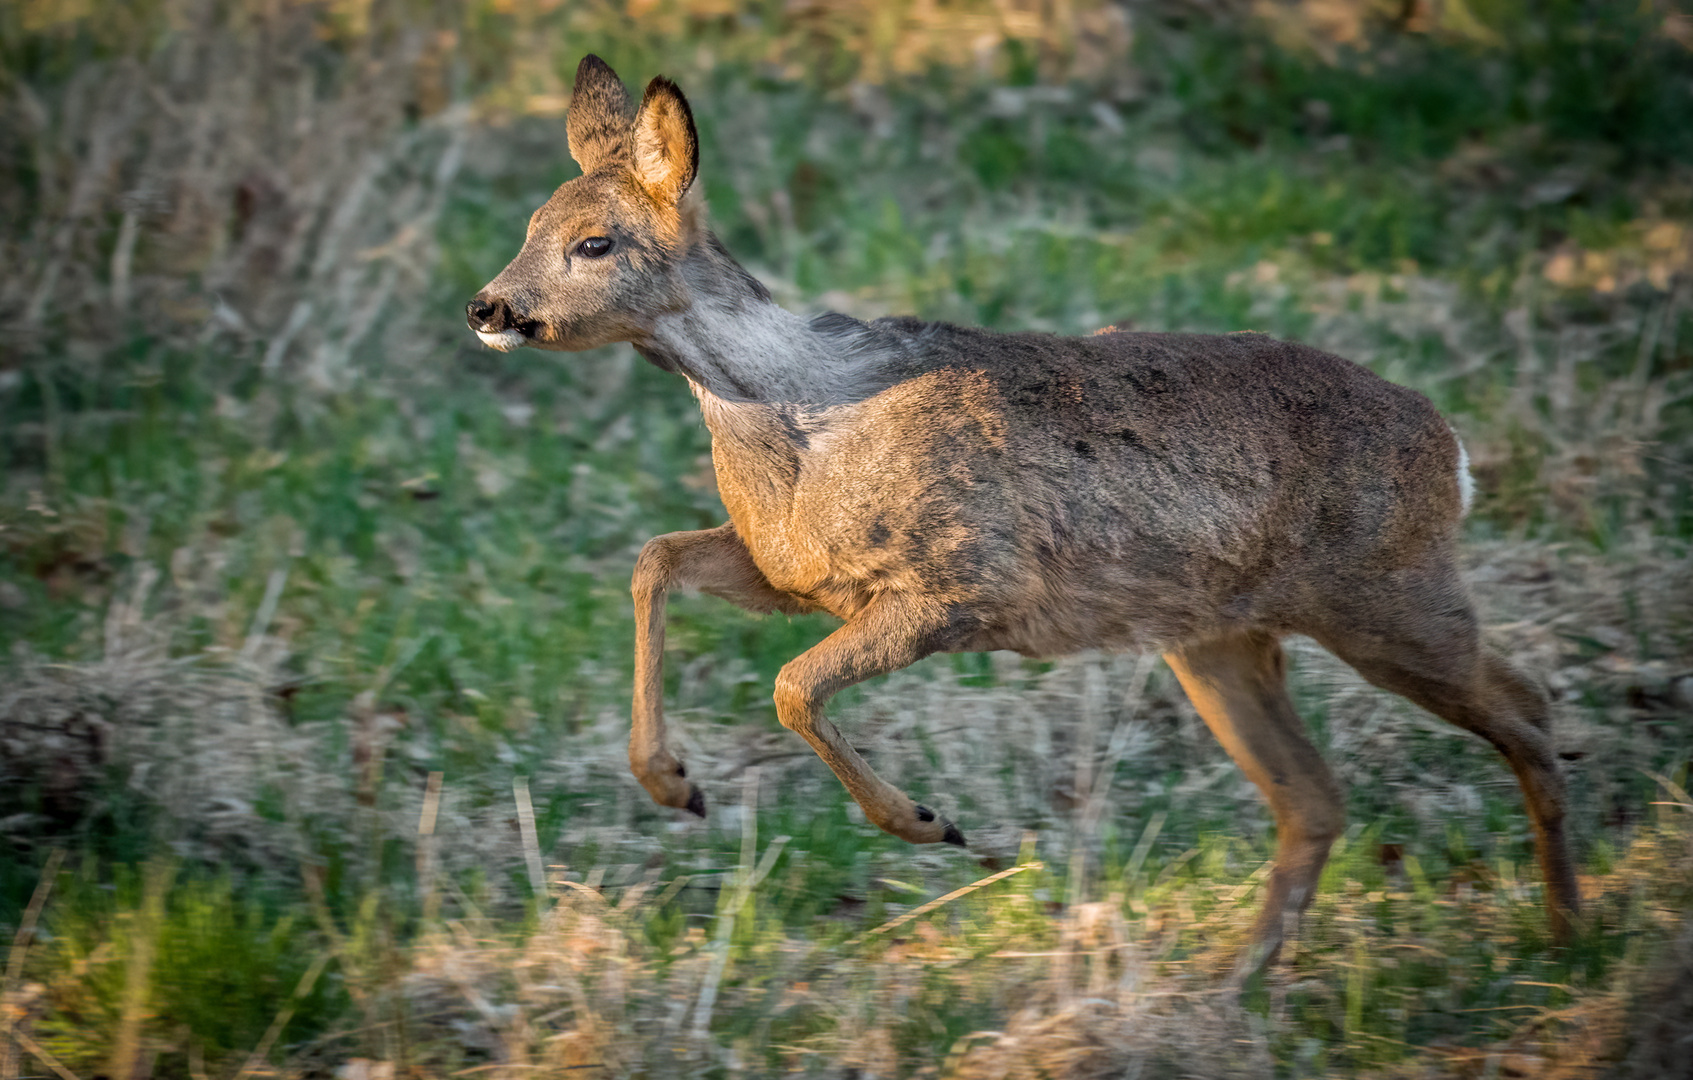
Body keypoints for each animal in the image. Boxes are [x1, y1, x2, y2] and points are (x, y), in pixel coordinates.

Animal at [463, 57, 1571, 975]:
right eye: (528, 225)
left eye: (593, 241)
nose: (487, 307)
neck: (805, 417)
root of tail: (1449, 446)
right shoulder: (792, 575)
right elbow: (654, 559)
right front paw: (672, 784)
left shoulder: (962, 584)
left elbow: (789, 688)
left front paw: (926, 824)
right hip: (1219, 638)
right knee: (1318, 795)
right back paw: (1233, 979)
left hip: (1387, 594)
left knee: (1524, 706)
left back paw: (1565, 933)